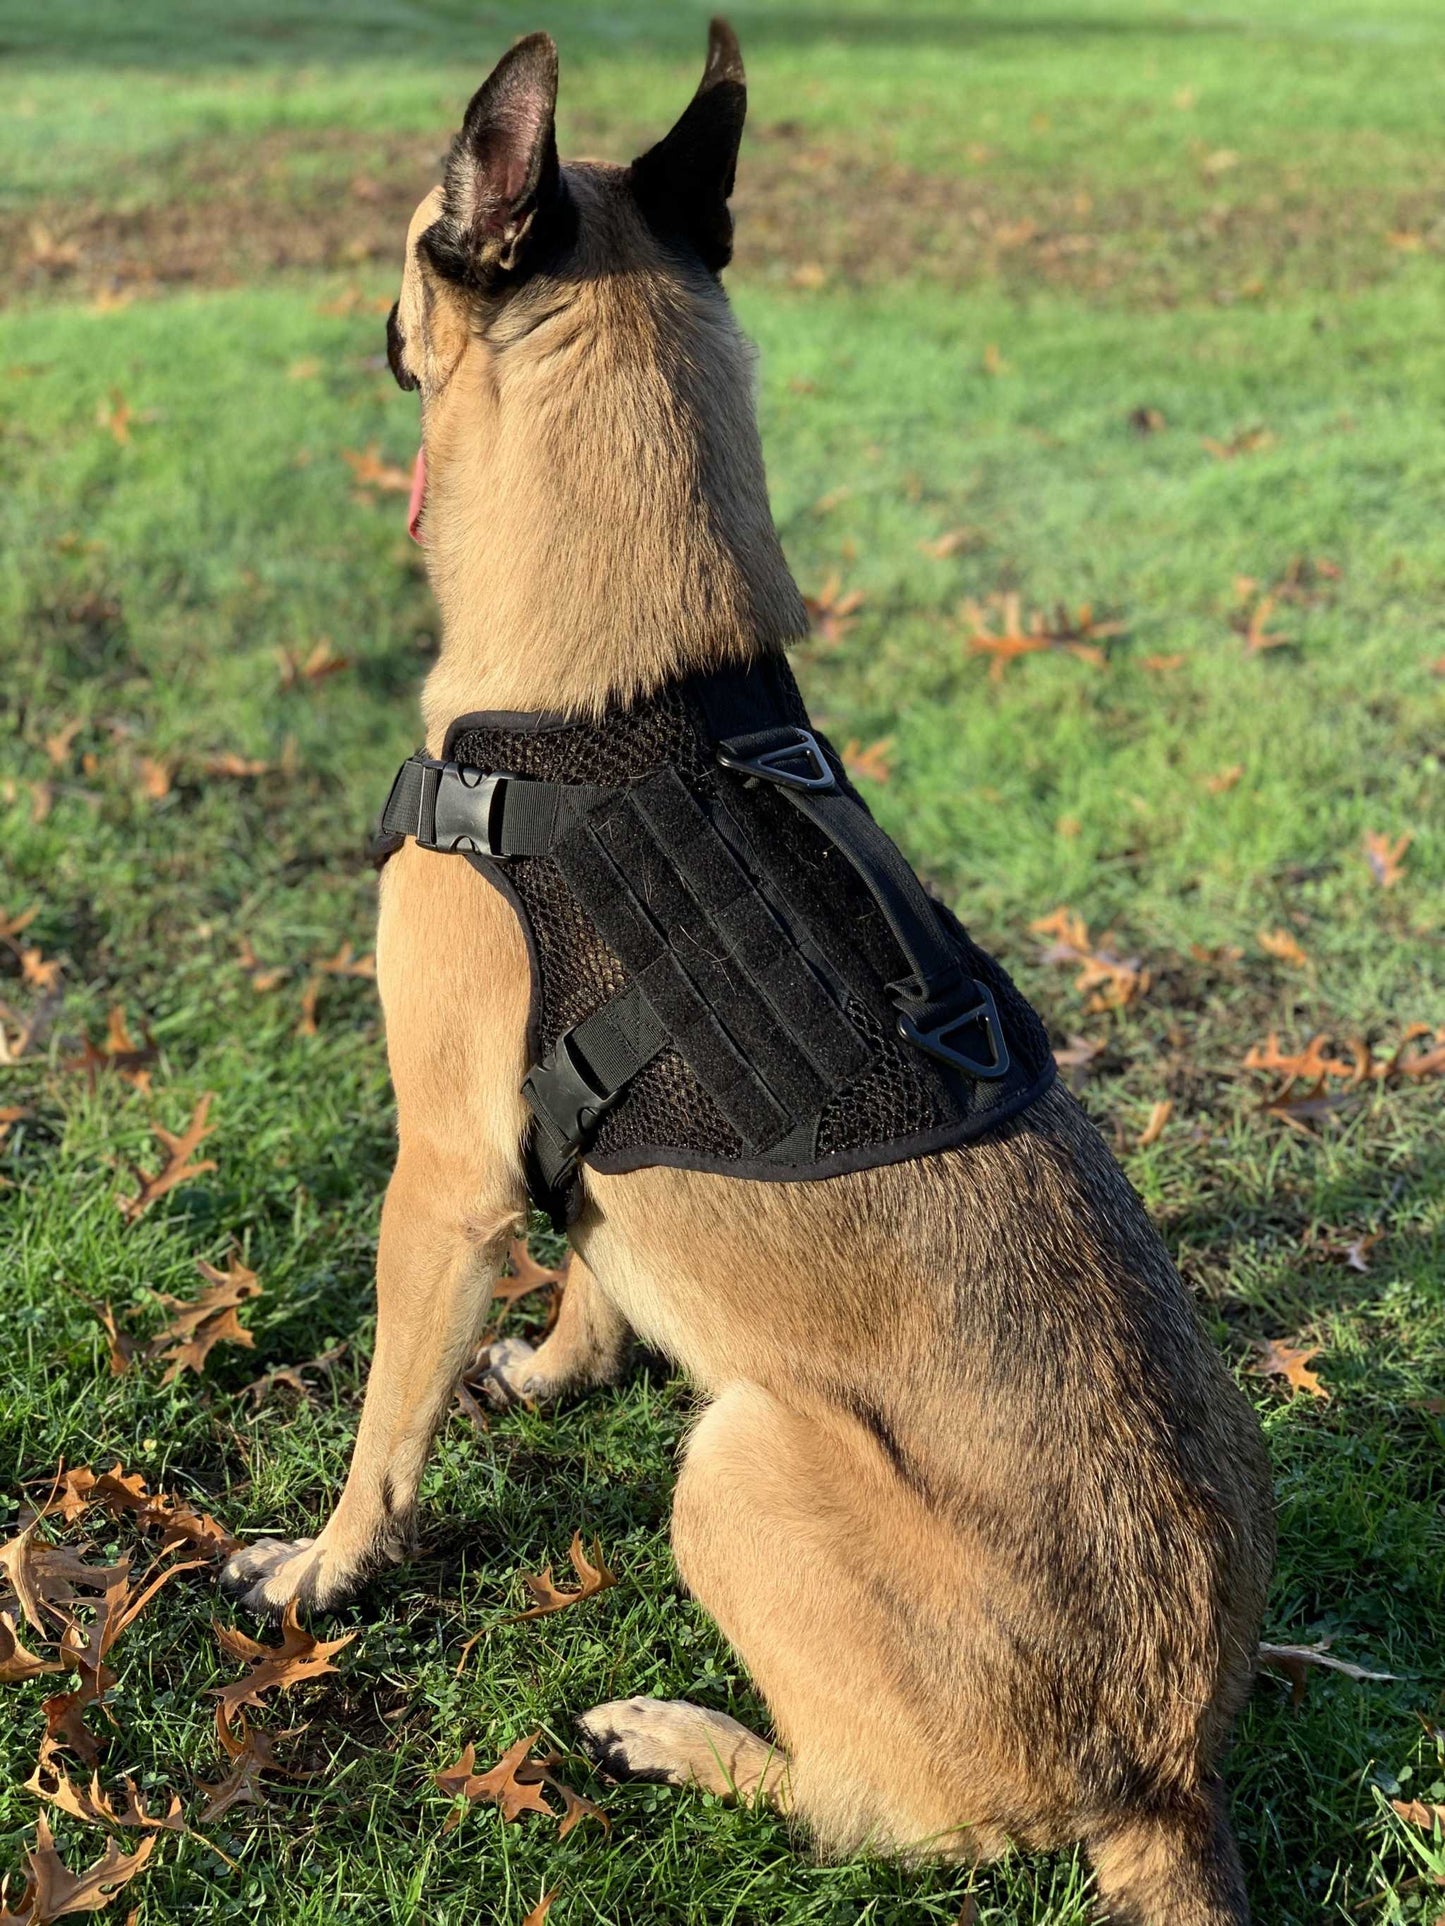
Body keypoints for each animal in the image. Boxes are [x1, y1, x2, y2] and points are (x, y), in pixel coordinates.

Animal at [220, 22, 1271, 1918]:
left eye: (412, 233)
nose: (370, 318)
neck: (625, 680)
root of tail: (1165, 1775)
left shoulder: (444, 1176)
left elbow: (386, 1426)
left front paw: (326, 1570)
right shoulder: (569, 1151)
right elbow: (599, 1256)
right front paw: (559, 1367)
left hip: (739, 1461)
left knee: (867, 1816)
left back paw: (685, 1738)